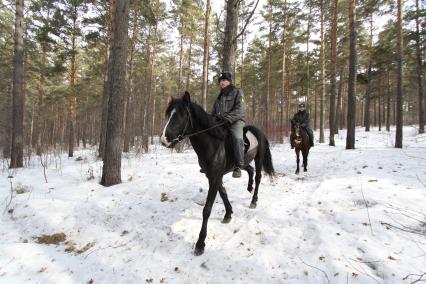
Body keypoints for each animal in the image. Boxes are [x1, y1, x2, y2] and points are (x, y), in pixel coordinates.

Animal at [161, 92, 276, 256]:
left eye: (181, 115)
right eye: (168, 114)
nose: (164, 140)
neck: (213, 144)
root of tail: (258, 130)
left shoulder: (215, 177)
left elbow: (207, 209)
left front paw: (200, 244)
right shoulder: (214, 176)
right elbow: (223, 193)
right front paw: (228, 214)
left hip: (259, 159)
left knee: (258, 176)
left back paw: (254, 200)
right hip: (244, 162)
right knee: (250, 170)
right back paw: (249, 187)